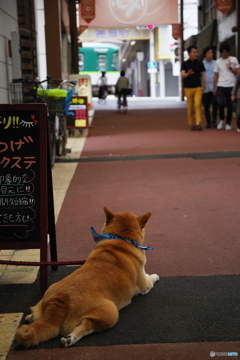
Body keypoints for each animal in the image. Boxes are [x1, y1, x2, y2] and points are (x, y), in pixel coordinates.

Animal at [15, 207, 160, 348]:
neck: (119, 240)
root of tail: (59, 301)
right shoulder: (144, 285)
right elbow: (150, 279)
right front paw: (155, 276)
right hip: (110, 313)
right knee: (87, 325)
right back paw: (71, 338)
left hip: (48, 294)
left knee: (38, 315)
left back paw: (30, 317)